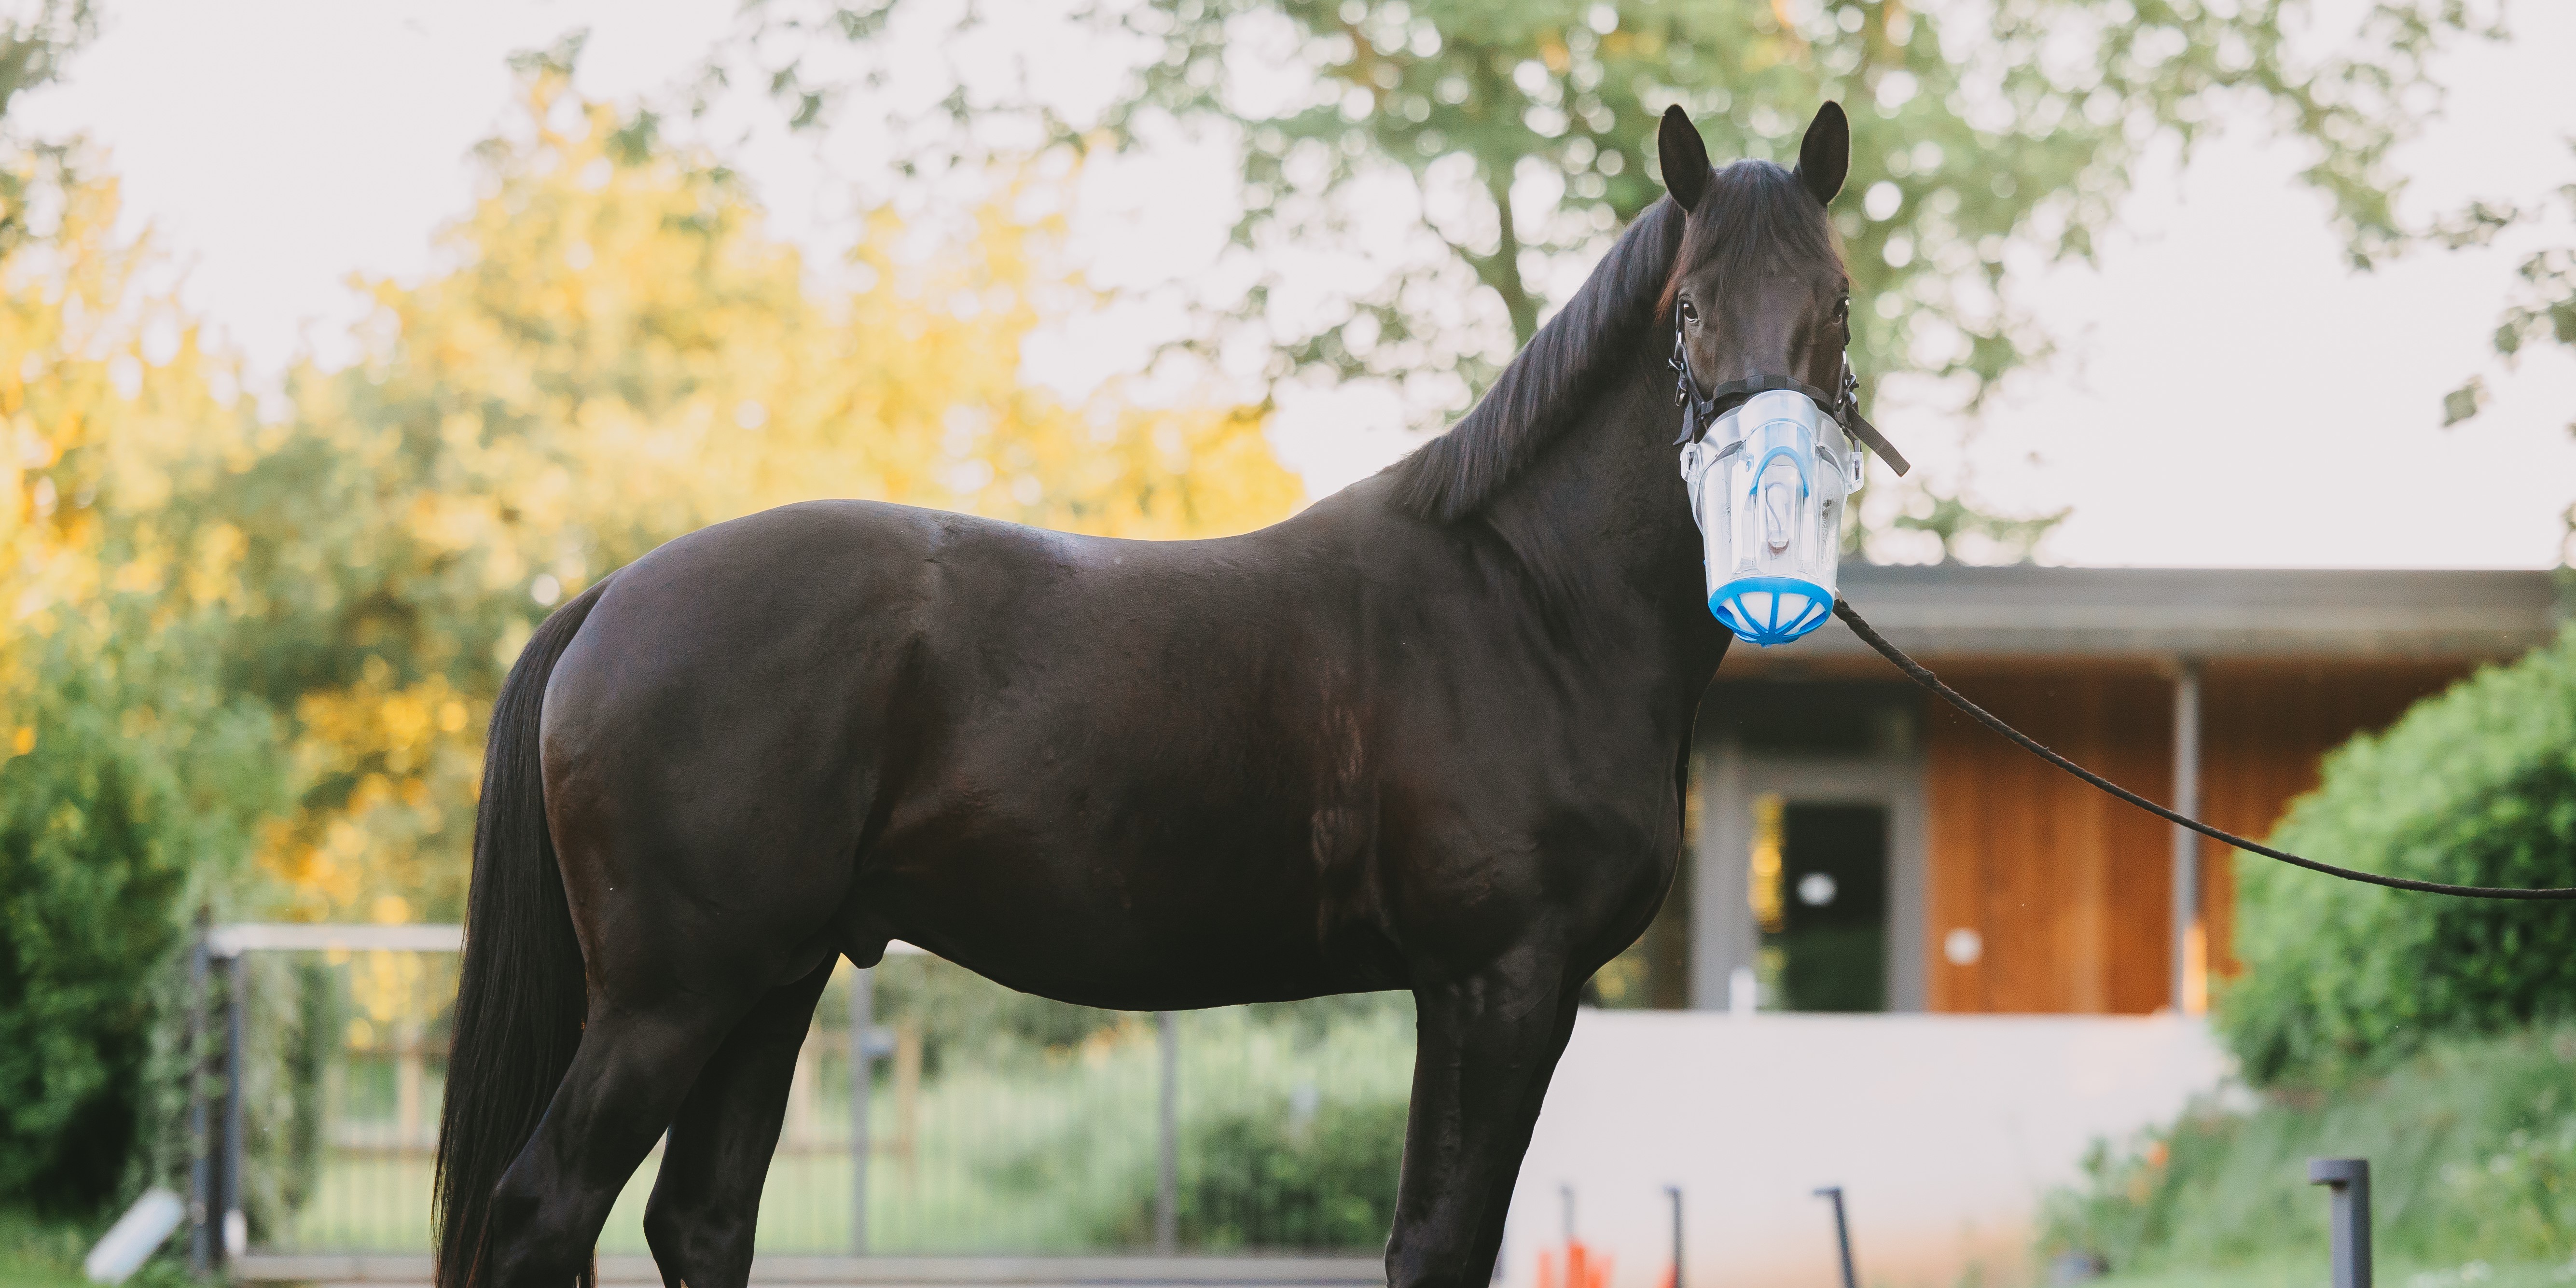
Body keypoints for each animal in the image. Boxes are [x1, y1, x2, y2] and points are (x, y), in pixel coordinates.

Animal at [438, 105, 1855, 1288]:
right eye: (1689, 307)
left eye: (1834, 301)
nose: (1775, 513)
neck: (1527, 605)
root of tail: (611, 596)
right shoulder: (1493, 982)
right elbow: (1437, 1244)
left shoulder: (1507, 993)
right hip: (671, 996)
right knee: (545, 1208)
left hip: (769, 982)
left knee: (700, 1218)